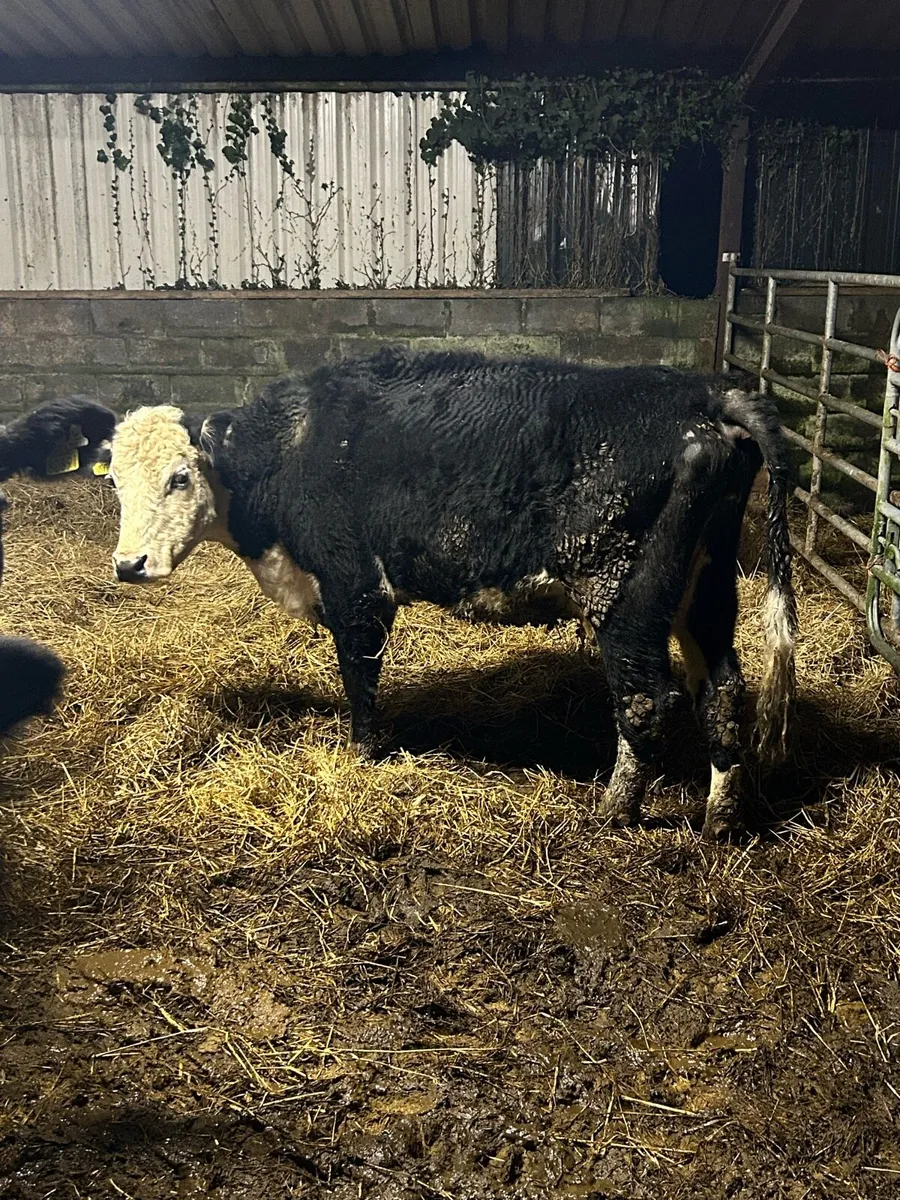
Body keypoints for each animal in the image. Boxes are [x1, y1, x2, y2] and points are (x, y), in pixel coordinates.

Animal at [92, 348, 796, 840]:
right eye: (116, 483)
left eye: (179, 477)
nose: (128, 564)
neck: (295, 446)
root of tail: (704, 392)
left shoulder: (355, 587)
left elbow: (360, 679)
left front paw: (362, 754)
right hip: (706, 592)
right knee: (722, 691)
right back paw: (721, 819)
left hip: (625, 597)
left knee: (648, 700)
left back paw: (611, 812)